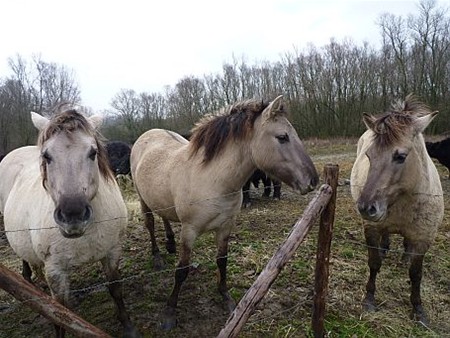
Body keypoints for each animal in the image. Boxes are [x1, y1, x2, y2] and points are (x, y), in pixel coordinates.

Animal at [0, 108, 140, 338]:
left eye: (93, 153)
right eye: (47, 156)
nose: (73, 215)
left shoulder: (112, 252)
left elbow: (115, 289)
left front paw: (128, 327)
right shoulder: (56, 271)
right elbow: (60, 313)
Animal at [352, 95, 442, 324]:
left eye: (400, 156)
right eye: (369, 155)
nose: (366, 207)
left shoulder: (423, 237)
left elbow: (416, 274)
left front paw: (418, 310)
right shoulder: (372, 228)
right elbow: (374, 263)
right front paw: (369, 299)